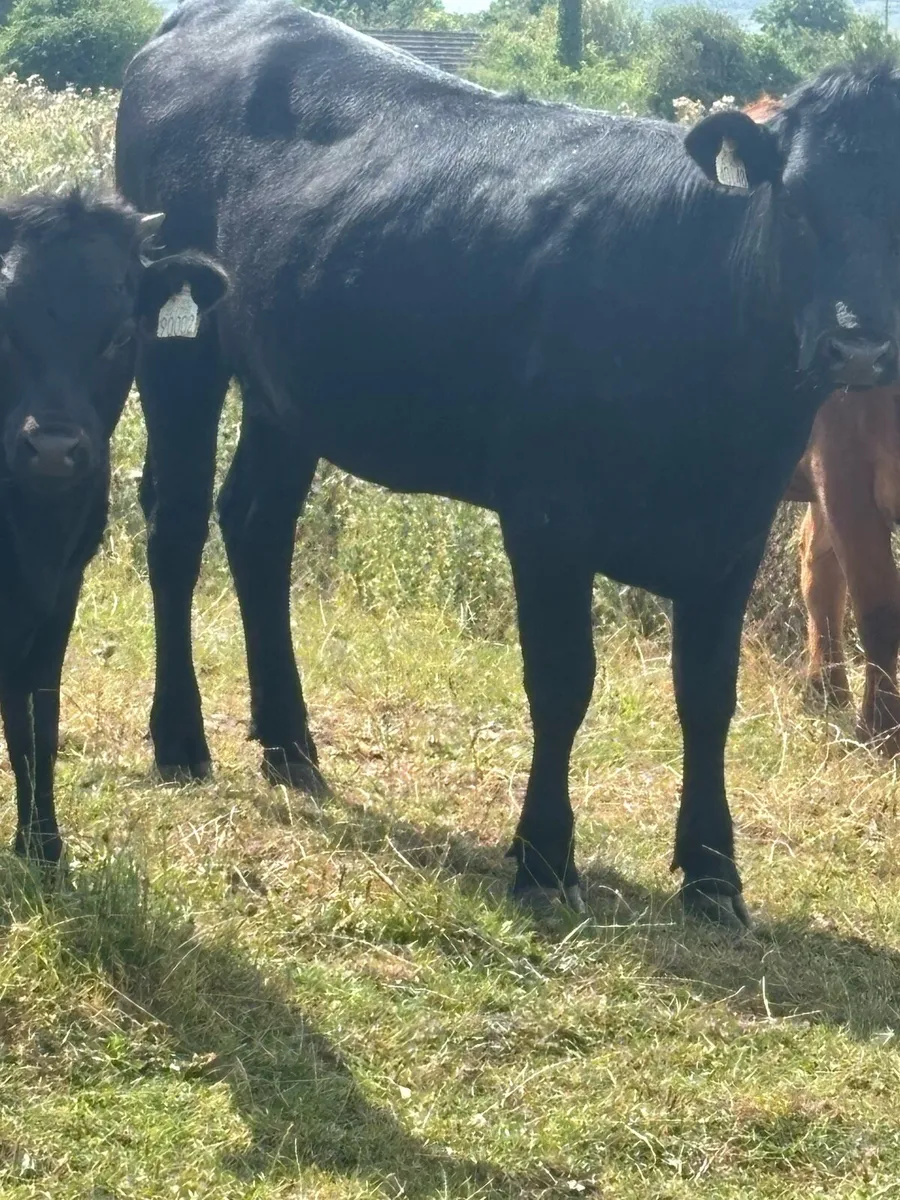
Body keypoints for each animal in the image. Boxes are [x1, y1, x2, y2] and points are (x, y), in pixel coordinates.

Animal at [116, 0, 900, 928]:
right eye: (799, 204)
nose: (859, 345)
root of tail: (208, 17)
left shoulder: (733, 531)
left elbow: (709, 696)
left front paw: (714, 876)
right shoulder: (547, 514)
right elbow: (562, 681)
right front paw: (543, 856)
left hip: (287, 387)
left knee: (256, 526)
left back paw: (292, 748)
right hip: (180, 350)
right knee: (176, 525)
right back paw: (180, 740)